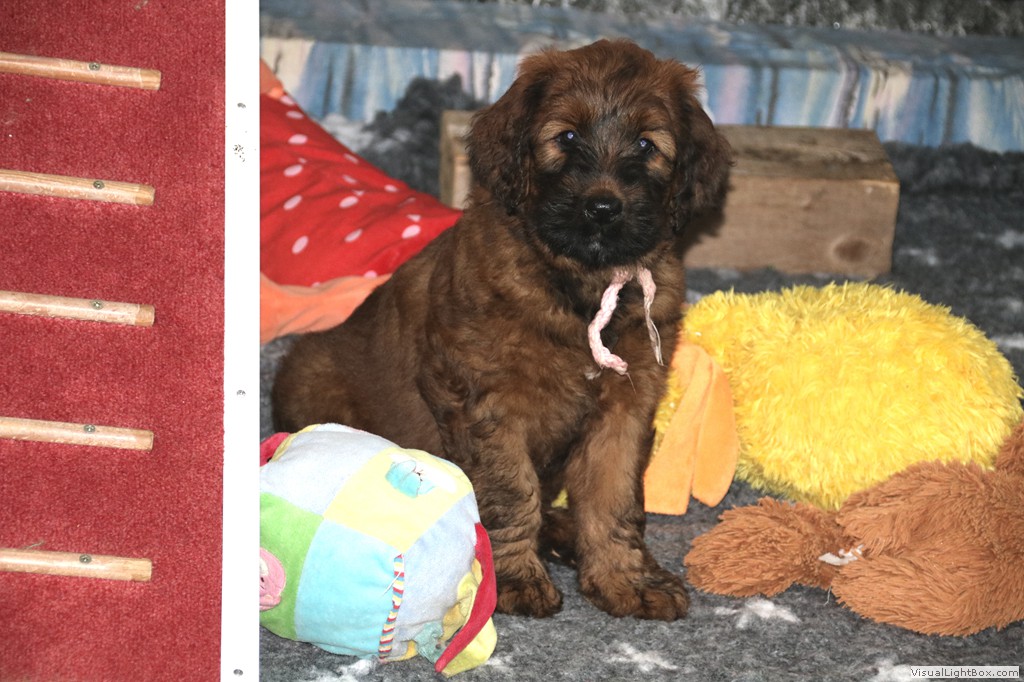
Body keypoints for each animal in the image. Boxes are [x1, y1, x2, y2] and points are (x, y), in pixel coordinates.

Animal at [273, 39, 732, 621]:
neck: (578, 289)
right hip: (314, 381)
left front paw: (624, 578)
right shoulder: (484, 402)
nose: (603, 208)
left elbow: (614, 498)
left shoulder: (625, 407)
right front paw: (513, 578)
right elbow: (511, 491)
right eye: (568, 137)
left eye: (647, 144)